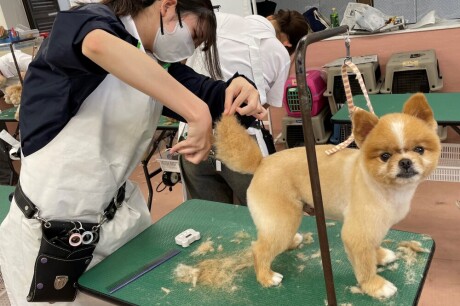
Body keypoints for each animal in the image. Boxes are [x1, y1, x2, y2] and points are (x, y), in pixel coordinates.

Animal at [214, 93, 440, 298]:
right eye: (385, 156)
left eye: (419, 150)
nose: (405, 162)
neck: (384, 186)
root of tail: (262, 162)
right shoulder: (357, 231)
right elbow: (364, 264)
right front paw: (375, 286)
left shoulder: (376, 225)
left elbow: (373, 244)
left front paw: (380, 255)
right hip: (283, 218)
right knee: (259, 249)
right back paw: (266, 277)